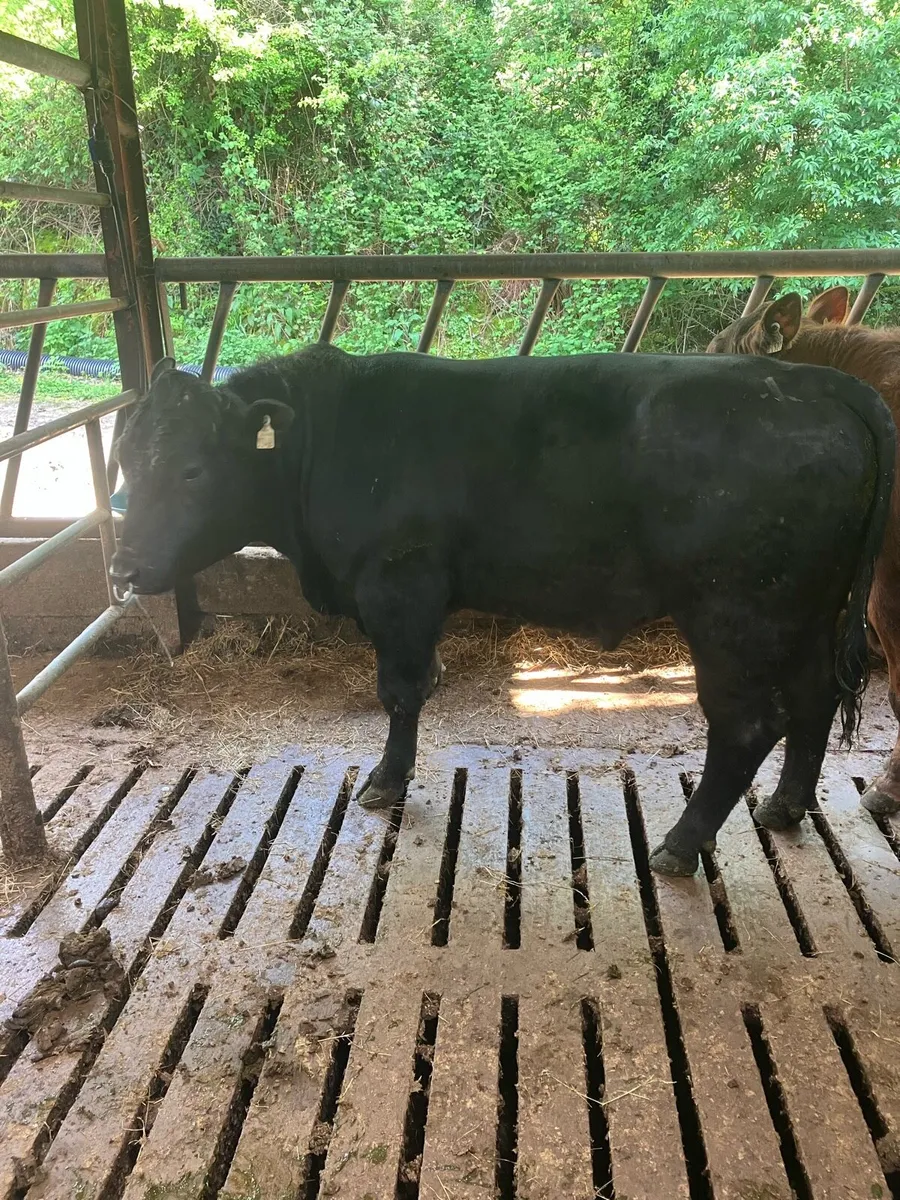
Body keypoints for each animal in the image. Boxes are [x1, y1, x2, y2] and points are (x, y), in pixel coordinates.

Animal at [109, 345, 894, 877]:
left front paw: (385, 782)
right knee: (814, 697)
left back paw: (680, 843)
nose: (124, 567)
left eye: (192, 470)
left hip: (737, 617)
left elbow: (401, 691)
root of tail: (811, 379)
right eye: (124, 461)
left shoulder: (399, 585)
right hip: (804, 613)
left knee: (747, 725)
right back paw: (783, 807)